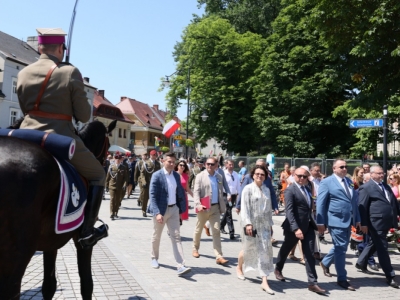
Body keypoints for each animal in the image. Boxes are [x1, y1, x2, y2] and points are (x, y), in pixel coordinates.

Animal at [0, 118, 116, 298]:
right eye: (109, 144)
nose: (105, 164)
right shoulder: (83, 242)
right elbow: (87, 284)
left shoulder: (50, 241)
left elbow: (49, 285)